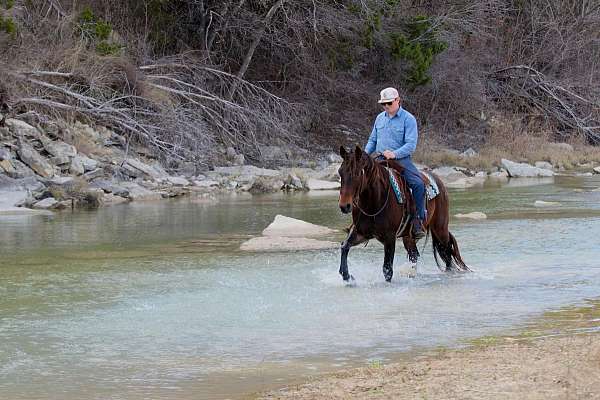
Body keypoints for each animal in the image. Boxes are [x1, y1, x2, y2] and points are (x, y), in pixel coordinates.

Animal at [338, 145, 468, 282]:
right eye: (340, 172)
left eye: (357, 173)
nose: (344, 206)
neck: (374, 203)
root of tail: (438, 181)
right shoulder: (361, 232)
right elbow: (344, 246)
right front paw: (347, 276)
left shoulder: (389, 238)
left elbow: (387, 269)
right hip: (409, 237)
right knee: (415, 254)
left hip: (440, 228)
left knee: (447, 252)